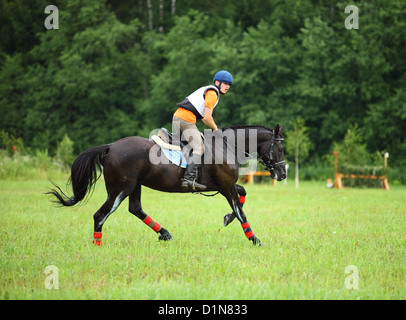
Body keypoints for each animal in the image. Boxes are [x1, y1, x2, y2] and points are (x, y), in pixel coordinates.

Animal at [47, 124, 286, 246]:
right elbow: (241, 211)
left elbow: (241, 197)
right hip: (120, 189)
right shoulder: (225, 185)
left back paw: (164, 233)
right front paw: (255, 239)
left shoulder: (222, 186)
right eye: (280, 149)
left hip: (133, 186)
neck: (228, 145)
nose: (283, 173)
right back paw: (98, 245)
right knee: (100, 215)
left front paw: (228, 218)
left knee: (135, 209)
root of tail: (111, 146)